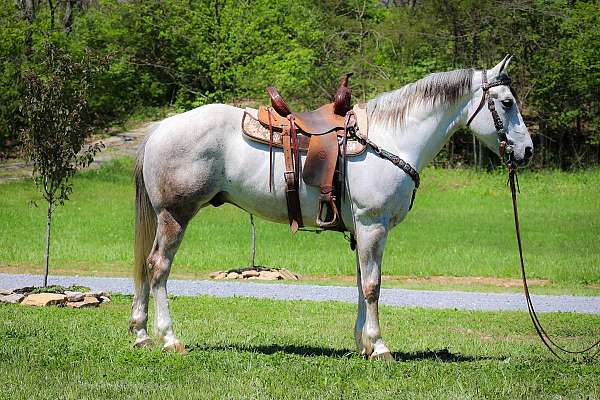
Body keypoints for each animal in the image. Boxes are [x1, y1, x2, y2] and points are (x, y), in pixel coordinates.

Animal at [129, 54, 532, 358]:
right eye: (507, 103)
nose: (526, 151)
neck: (392, 139)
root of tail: (160, 128)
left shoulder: (363, 230)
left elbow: (361, 282)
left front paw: (363, 344)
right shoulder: (373, 225)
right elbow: (372, 285)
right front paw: (380, 347)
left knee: (148, 266)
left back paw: (141, 334)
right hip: (175, 215)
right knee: (159, 267)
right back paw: (168, 339)